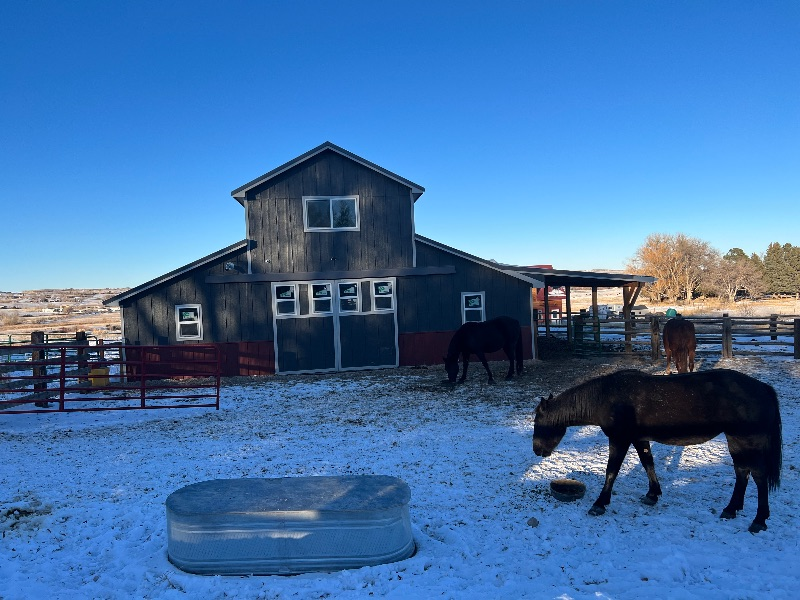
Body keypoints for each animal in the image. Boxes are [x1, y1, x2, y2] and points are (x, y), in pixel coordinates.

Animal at [532, 369, 782, 533]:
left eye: (538, 422)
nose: (537, 450)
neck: (607, 397)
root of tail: (763, 388)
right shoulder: (639, 438)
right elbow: (648, 464)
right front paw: (652, 495)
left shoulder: (620, 440)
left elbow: (611, 471)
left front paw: (600, 503)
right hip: (736, 442)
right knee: (742, 473)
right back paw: (731, 509)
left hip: (746, 440)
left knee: (758, 476)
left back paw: (759, 520)